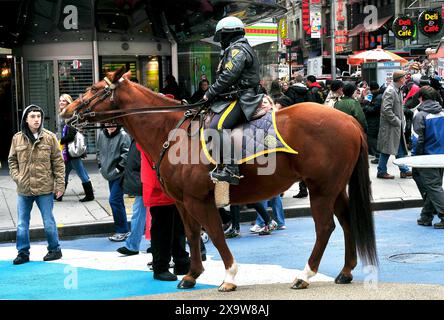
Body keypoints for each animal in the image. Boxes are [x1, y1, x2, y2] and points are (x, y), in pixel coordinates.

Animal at [60, 68, 376, 292]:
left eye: (95, 89)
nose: (65, 111)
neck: (172, 131)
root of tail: (349, 120)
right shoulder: (182, 202)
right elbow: (191, 235)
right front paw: (191, 274)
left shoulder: (198, 199)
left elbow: (213, 232)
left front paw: (229, 276)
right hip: (334, 188)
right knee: (347, 221)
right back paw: (345, 271)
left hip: (321, 188)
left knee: (325, 227)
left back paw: (305, 274)